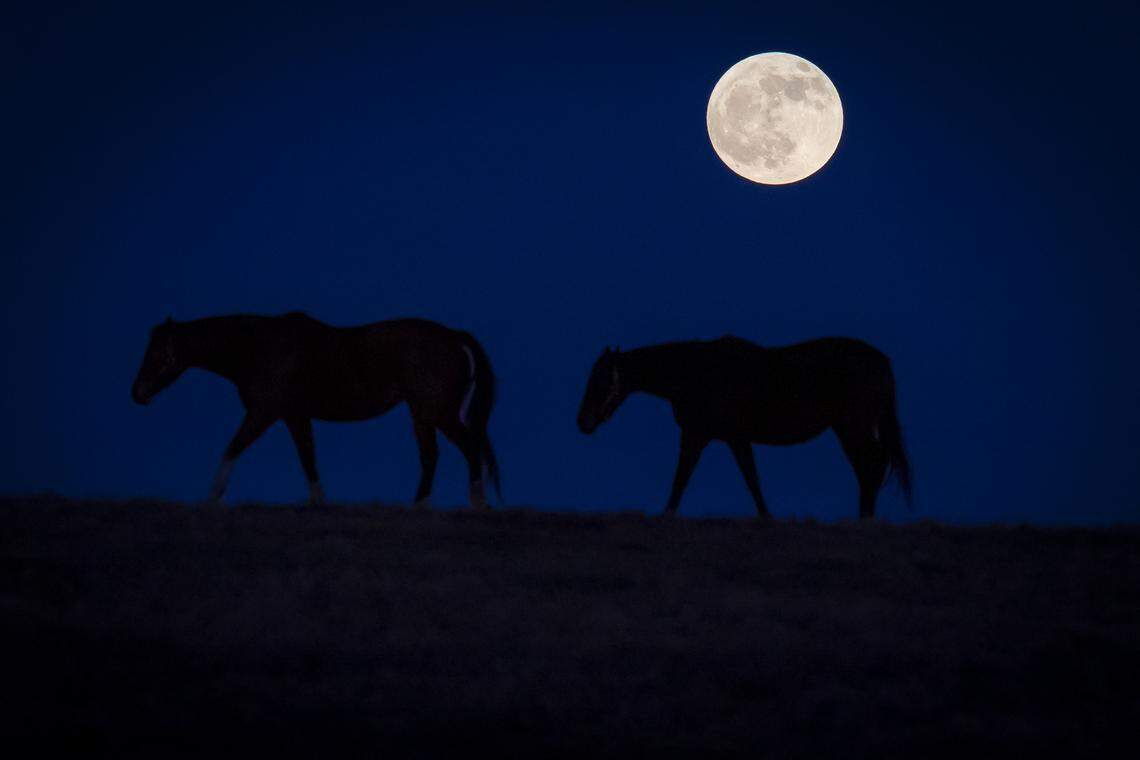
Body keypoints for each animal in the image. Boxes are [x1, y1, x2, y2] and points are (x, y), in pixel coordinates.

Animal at [131, 312, 500, 508]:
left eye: (158, 352)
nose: (137, 393)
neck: (259, 348)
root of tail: (453, 337)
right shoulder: (294, 416)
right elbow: (307, 457)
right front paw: (319, 502)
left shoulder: (263, 413)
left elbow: (232, 448)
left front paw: (211, 498)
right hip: (428, 414)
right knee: (440, 454)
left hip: (435, 412)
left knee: (461, 449)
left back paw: (472, 501)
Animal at [576, 335, 911, 519]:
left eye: (600, 378)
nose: (583, 422)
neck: (696, 372)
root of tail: (880, 361)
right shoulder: (726, 439)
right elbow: (747, 478)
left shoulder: (701, 436)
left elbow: (684, 477)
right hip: (847, 429)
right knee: (867, 467)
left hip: (854, 427)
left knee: (873, 465)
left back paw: (865, 518)